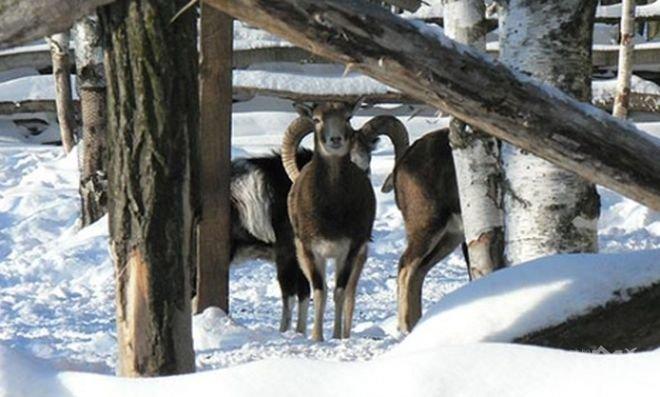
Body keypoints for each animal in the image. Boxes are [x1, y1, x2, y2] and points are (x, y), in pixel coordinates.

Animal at [282, 103, 410, 340]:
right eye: (317, 119)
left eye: (348, 117)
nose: (336, 139)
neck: (331, 212)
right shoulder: (311, 252)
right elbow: (320, 292)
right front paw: (317, 338)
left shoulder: (349, 252)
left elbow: (340, 293)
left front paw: (336, 337)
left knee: (350, 294)